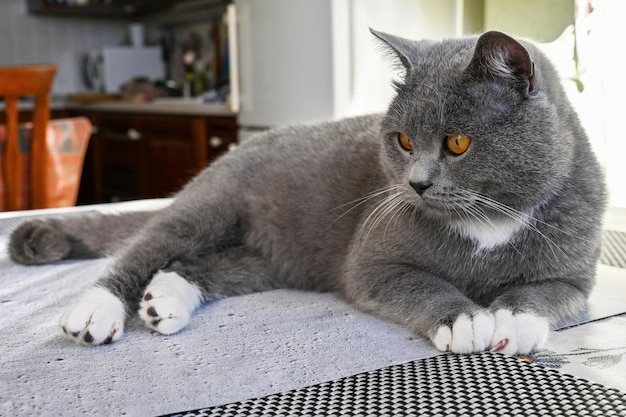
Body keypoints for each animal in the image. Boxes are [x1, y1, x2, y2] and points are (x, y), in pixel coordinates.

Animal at [8, 30, 604, 354]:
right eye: (403, 141)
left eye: (457, 143)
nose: (416, 182)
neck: (489, 222)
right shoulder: (371, 262)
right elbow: (421, 284)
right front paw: (467, 321)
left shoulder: (576, 273)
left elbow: (548, 293)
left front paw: (514, 321)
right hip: (212, 206)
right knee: (148, 247)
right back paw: (96, 312)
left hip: (272, 258)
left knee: (202, 265)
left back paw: (164, 301)